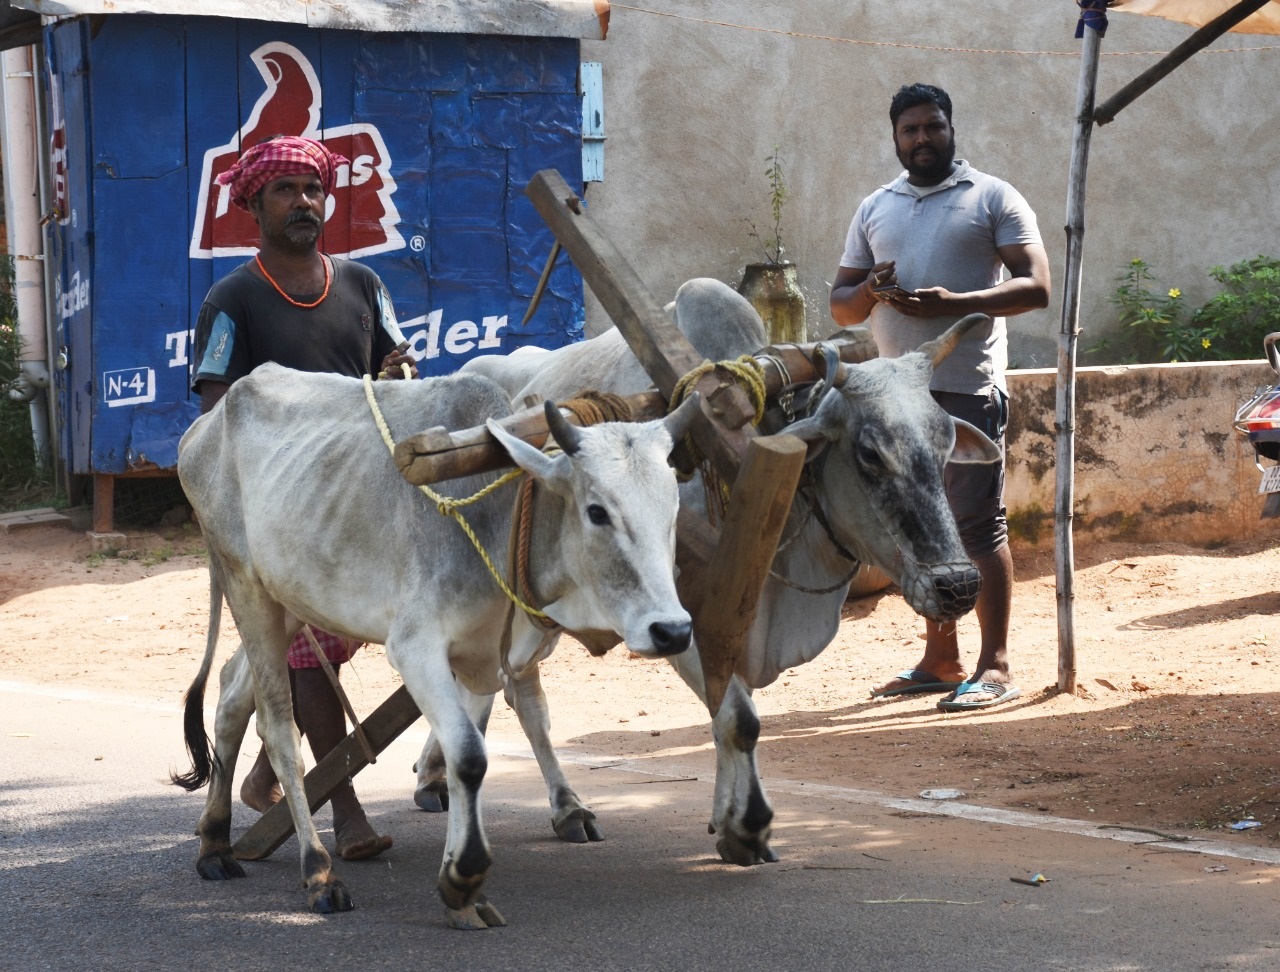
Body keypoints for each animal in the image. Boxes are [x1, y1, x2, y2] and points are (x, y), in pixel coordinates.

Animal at [172, 363, 700, 927]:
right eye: (597, 511)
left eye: (672, 510)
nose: (672, 630)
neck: (500, 515)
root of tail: (200, 430)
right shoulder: (414, 647)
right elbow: (468, 754)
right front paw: (463, 878)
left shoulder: (486, 654)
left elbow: (484, 740)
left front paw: (463, 879)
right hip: (246, 590)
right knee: (278, 730)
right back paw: (317, 871)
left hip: (289, 602)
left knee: (231, 696)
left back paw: (215, 844)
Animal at [415, 277, 1000, 865]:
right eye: (870, 454)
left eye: (945, 443)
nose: (958, 585)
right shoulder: (685, 619)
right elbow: (737, 720)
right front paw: (744, 829)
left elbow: (727, 719)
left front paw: (725, 818)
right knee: (517, 696)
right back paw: (545, 801)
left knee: (503, 688)